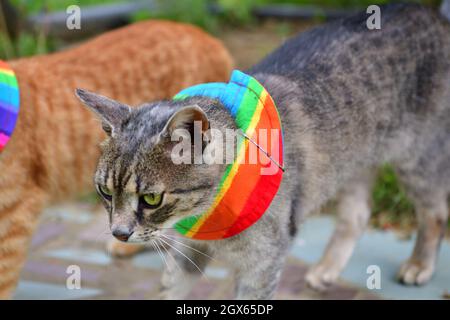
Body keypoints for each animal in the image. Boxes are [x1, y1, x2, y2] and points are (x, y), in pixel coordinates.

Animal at [77, 4, 450, 300]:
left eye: (151, 199)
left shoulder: (263, 263)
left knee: (435, 212)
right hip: (354, 163)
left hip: (416, 159)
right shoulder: (187, 254)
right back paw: (328, 268)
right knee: (357, 215)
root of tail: (425, 11)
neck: (207, 214)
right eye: (105, 192)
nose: (119, 233)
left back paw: (419, 264)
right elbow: (169, 291)